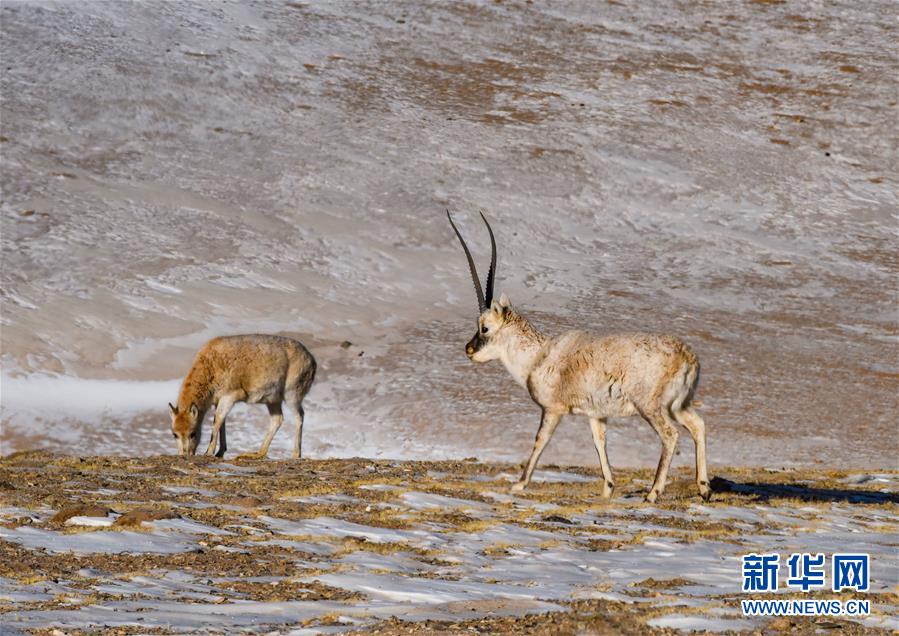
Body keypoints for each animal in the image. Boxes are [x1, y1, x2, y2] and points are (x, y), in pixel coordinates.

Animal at [169, 336, 316, 460]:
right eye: (174, 434)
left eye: (193, 433)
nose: (184, 454)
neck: (210, 366)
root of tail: (312, 361)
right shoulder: (218, 400)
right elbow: (221, 422)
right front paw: (220, 452)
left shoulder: (230, 396)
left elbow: (217, 421)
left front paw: (209, 452)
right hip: (273, 400)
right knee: (277, 419)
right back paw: (257, 453)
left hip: (292, 395)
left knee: (299, 416)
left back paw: (296, 454)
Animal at [448, 212, 712, 502]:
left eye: (484, 327)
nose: (468, 349)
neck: (540, 355)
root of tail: (687, 357)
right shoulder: (596, 415)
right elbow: (599, 442)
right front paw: (608, 488)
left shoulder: (552, 410)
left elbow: (541, 440)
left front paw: (519, 484)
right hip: (679, 405)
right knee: (698, 425)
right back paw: (704, 489)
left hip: (652, 407)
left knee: (670, 435)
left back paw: (653, 493)